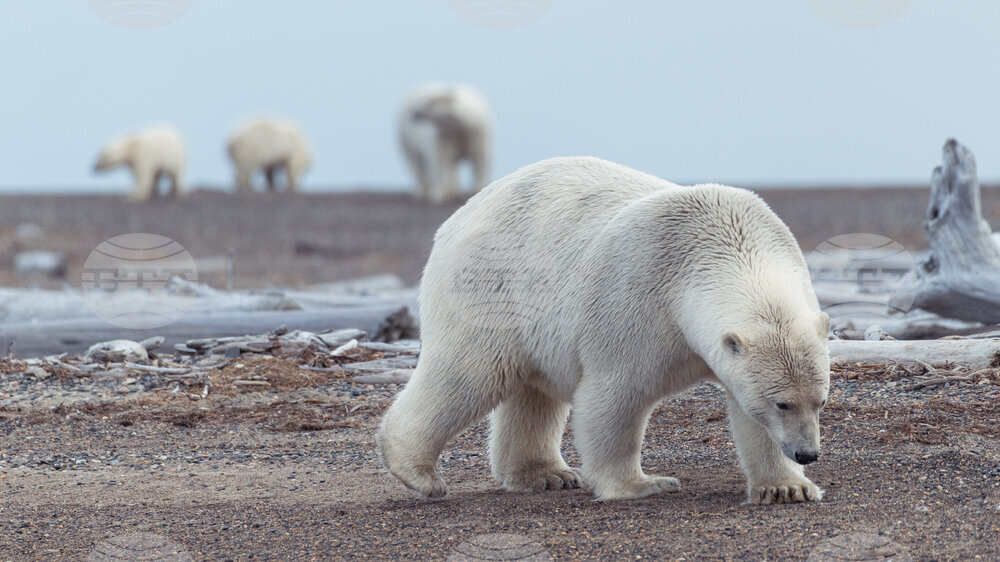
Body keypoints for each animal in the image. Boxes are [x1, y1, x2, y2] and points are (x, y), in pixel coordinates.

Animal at [378, 156, 831, 505]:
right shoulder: (638, 298)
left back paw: (547, 474)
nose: (807, 453)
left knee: (531, 392)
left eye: (820, 401)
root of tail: (462, 214)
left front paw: (787, 488)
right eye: (783, 403)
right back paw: (417, 472)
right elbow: (616, 395)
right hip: (491, 288)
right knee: (469, 373)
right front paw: (643, 484)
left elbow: (747, 410)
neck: (718, 244)